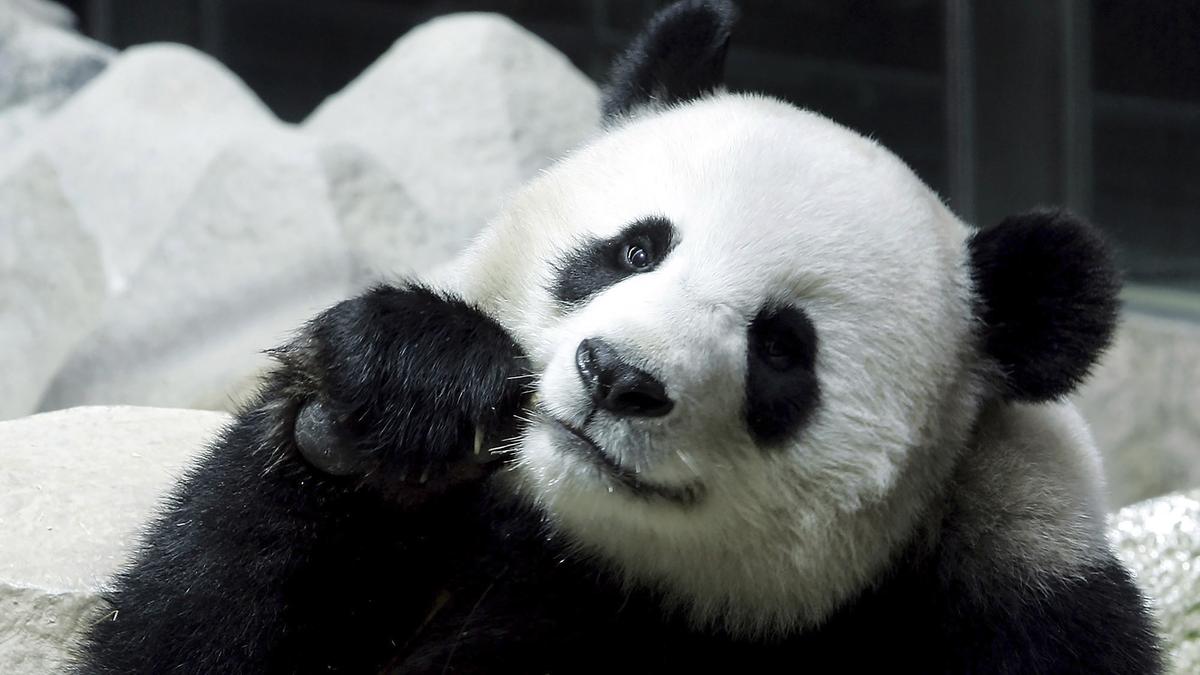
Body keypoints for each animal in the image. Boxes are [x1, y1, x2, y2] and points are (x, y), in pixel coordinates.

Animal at [75, 1, 1162, 673]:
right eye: (635, 248)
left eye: (783, 348)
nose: (617, 376)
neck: (600, 565)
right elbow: (173, 632)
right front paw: (403, 387)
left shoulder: (1019, 595)